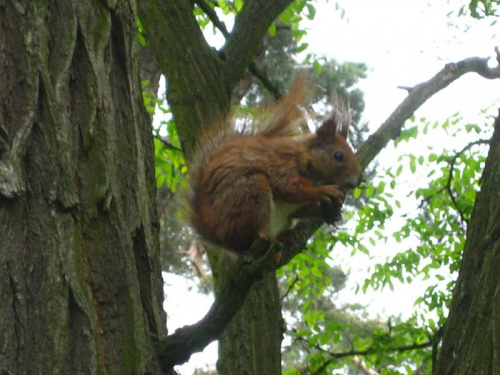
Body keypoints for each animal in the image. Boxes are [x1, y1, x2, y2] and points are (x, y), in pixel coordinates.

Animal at [188, 76, 360, 254]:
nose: (356, 182)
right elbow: (288, 187)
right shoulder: (284, 162)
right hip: (250, 191)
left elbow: (301, 208)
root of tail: (218, 237)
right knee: (247, 236)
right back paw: (263, 236)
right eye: (338, 156)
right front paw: (323, 191)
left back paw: (286, 236)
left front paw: (330, 212)